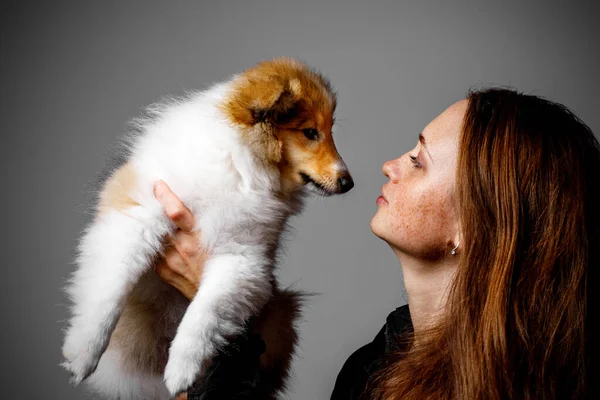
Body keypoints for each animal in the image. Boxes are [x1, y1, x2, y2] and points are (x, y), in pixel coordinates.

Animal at [61, 57, 352, 400]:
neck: (240, 164)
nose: (348, 182)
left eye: (329, 131)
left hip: (279, 313)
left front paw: (181, 371)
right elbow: (109, 291)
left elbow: (204, 312)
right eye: (310, 132)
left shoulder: (242, 258)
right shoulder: (136, 216)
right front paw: (82, 355)